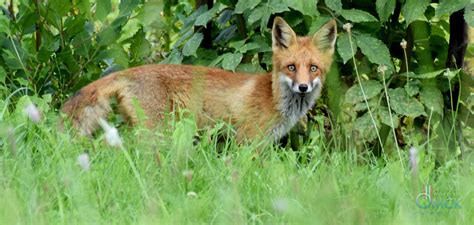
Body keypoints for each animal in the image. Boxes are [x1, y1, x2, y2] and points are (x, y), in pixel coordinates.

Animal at [63, 16, 336, 142]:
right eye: (291, 67)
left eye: (313, 68)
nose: (303, 87)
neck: (273, 98)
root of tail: (129, 71)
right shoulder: (248, 140)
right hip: (158, 132)